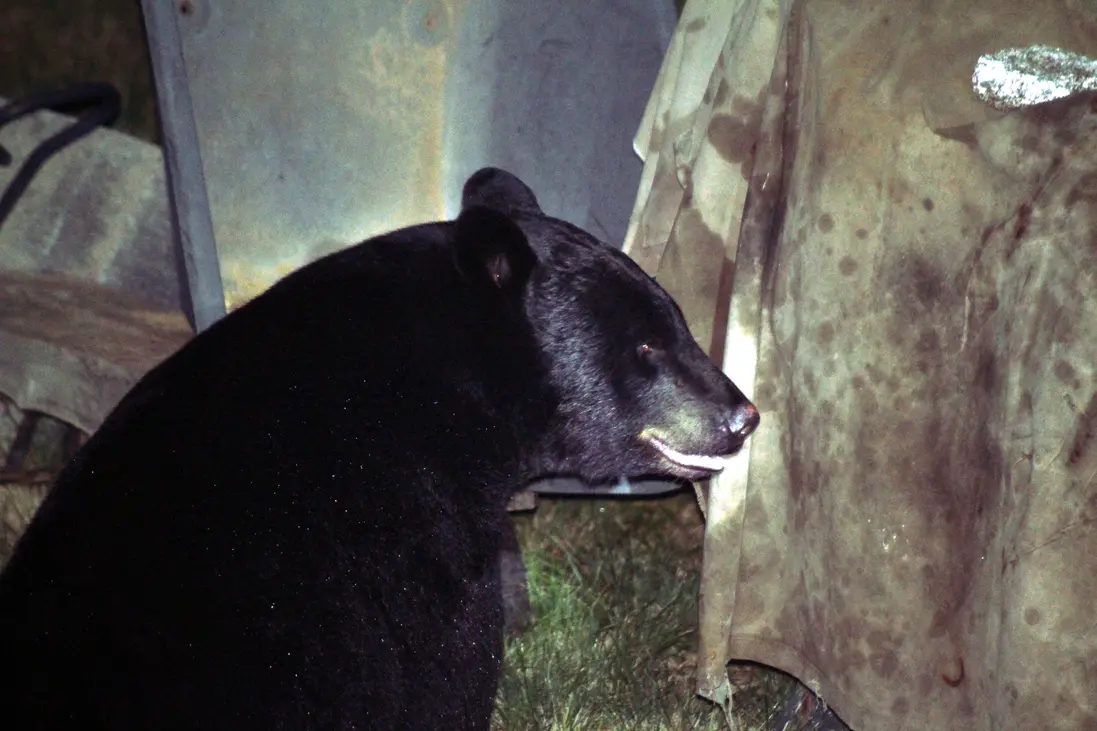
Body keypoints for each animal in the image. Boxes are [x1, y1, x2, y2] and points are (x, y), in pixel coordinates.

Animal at [0, 167, 759, 731]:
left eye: (677, 322)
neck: (443, 390)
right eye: (647, 345)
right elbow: (446, 670)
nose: (744, 414)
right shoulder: (409, 546)